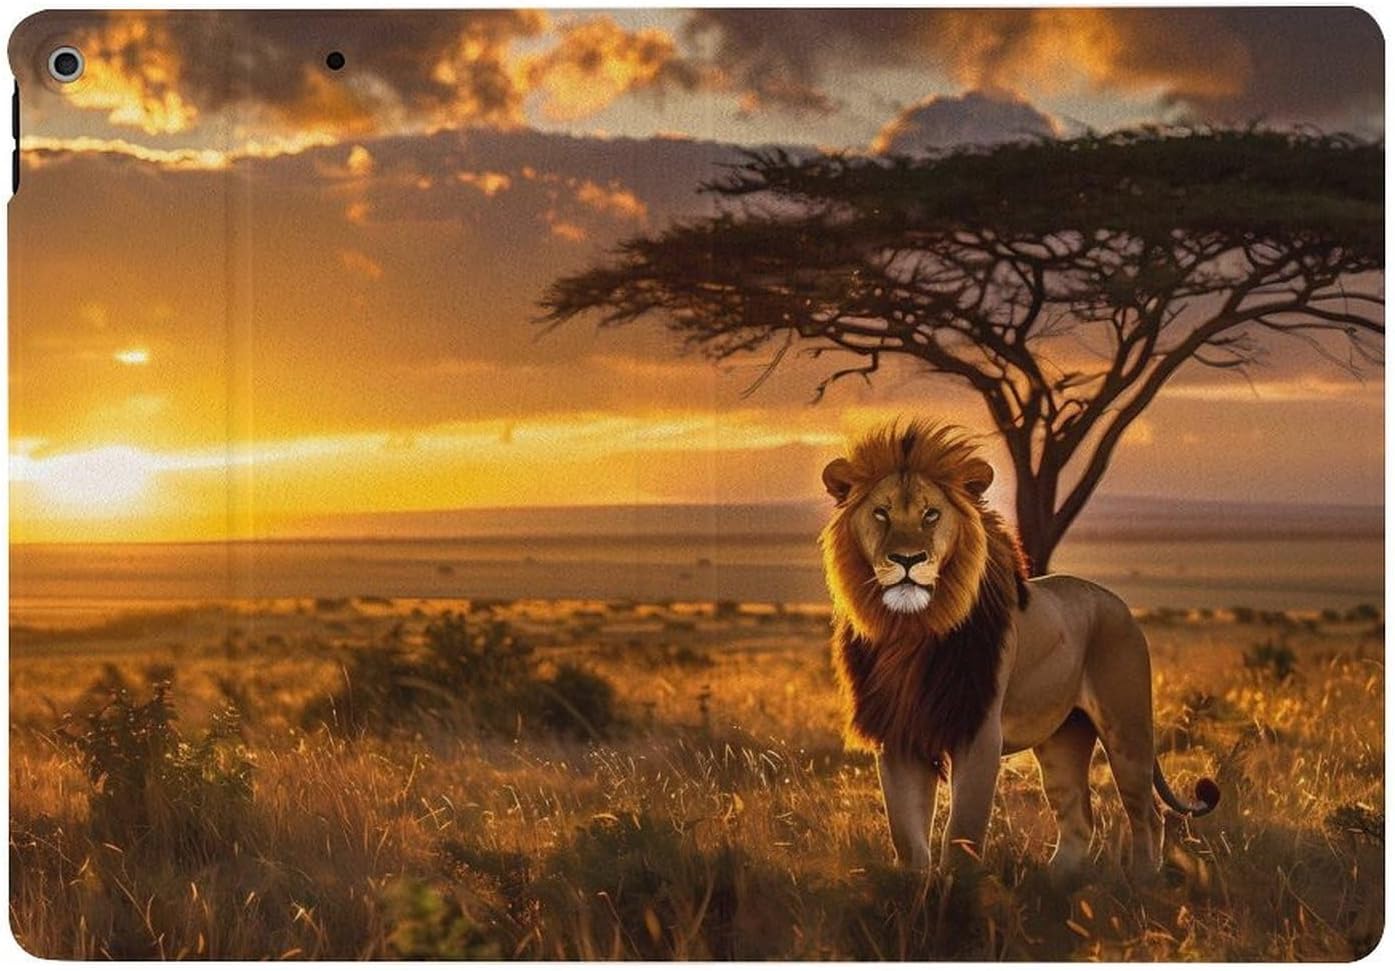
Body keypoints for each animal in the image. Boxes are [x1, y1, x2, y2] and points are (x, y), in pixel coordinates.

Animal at [819, 419, 1219, 877]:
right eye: (881, 513)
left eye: (931, 514)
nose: (907, 559)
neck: (912, 631)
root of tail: (1118, 604)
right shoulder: (900, 736)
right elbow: (908, 840)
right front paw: (915, 889)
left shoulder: (979, 733)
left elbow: (962, 833)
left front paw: (958, 891)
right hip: (1063, 738)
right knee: (1078, 819)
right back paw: (1055, 884)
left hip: (1127, 727)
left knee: (1147, 813)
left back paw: (1141, 881)